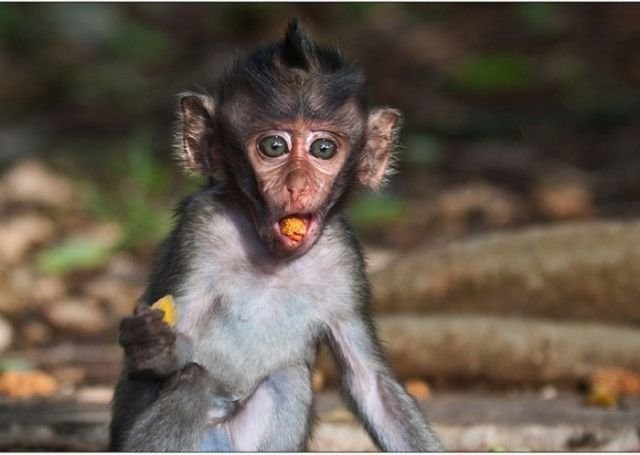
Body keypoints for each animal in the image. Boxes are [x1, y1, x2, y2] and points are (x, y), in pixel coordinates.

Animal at [109, 19, 440, 450]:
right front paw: (151, 348)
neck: (274, 261)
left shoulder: (344, 257)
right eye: (273, 146)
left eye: (323, 148)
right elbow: (167, 356)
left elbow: (371, 385)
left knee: (289, 376)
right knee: (194, 379)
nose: (297, 185)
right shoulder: (202, 229)